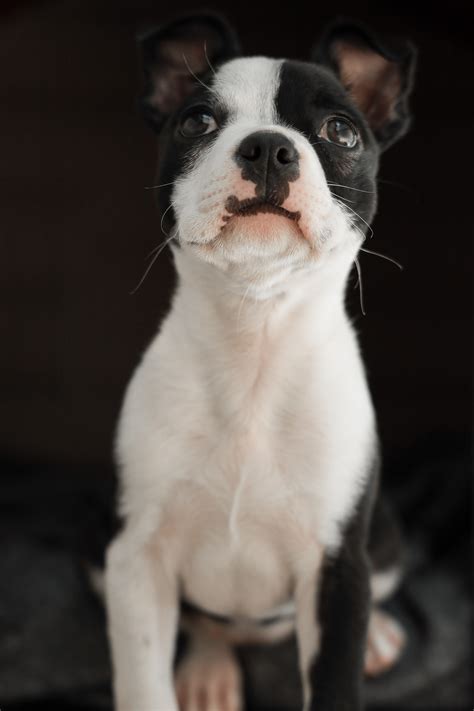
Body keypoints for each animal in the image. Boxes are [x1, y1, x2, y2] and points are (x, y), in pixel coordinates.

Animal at [105, 12, 416, 711]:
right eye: (197, 122)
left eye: (341, 131)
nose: (269, 148)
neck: (254, 339)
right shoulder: (135, 562)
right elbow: (143, 682)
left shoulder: (338, 568)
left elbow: (334, 682)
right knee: (211, 628)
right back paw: (208, 671)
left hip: (383, 539)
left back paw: (379, 637)